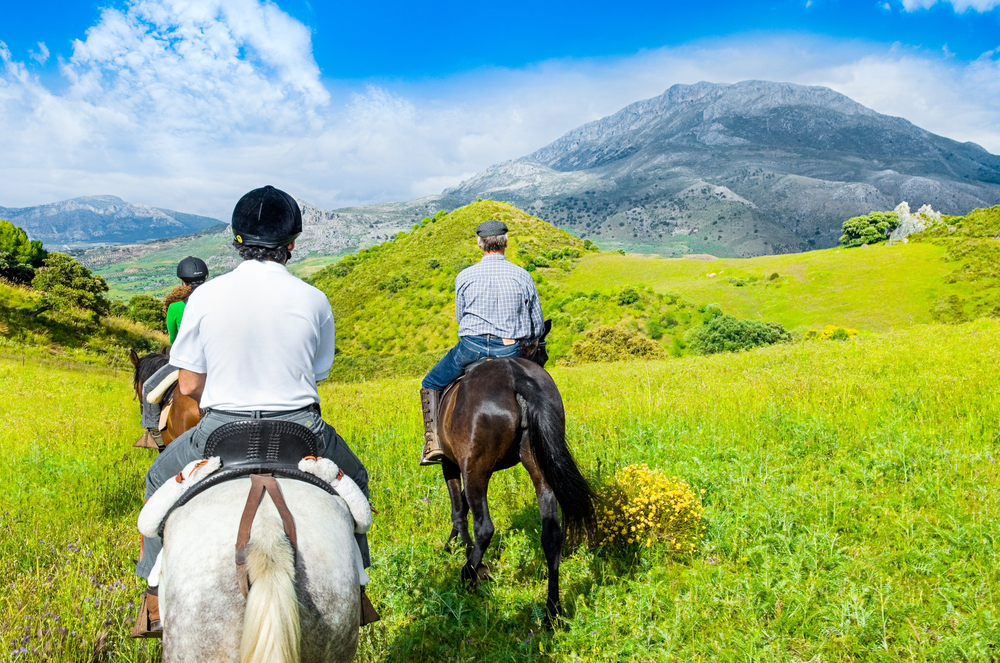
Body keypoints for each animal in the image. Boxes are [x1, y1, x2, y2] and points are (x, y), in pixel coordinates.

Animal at [438, 326, 592, 624]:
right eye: (543, 353)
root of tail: (517, 377)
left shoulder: (451, 463)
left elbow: (458, 508)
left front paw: (456, 547)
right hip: (539, 465)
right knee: (551, 533)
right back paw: (552, 612)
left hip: (476, 469)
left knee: (484, 527)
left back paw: (470, 576)